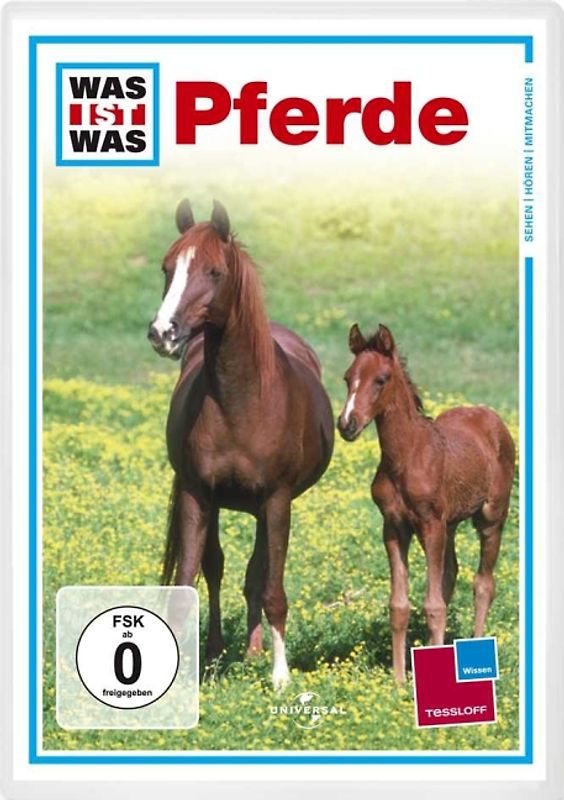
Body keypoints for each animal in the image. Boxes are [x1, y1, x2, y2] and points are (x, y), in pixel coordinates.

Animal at [148, 199, 334, 688]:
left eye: (214, 271)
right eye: (167, 268)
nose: (162, 332)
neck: (241, 402)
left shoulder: (277, 500)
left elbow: (271, 588)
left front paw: (280, 676)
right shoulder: (197, 494)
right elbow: (191, 579)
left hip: (265, 509)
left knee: (256, 574)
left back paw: (253, 652)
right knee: (218, 568)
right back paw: (216, 653)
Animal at [337, 323, 515, 682]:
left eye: (382, 379)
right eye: (348, 378)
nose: (347, 424)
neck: (406, 457)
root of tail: (490, 416)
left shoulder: (430, 523)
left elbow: (433, 605)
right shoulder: (394, 527)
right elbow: (400, 605)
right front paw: (398, 680)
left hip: (491, 517)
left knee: (483, 584)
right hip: (450, 524)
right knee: (451, 575)